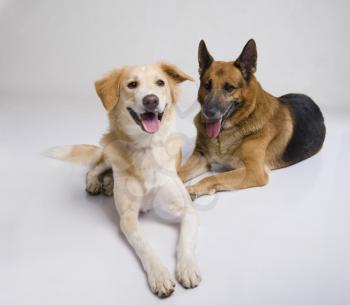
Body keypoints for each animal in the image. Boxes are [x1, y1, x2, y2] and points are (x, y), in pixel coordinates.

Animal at [47, 62, 200, 296]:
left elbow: (184, 242)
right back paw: (96, 183)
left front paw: (188, 268)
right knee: (95, 168)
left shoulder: (188, 211)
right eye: (132, 84)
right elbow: (145, 246)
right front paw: (160, 274)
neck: (147, 147)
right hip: (109, 151)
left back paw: (109, 185)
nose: (151, 100)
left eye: (160, 82)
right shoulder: (128, 218)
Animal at [179, 38, 326, 197]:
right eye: (207, 85)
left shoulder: (253, 171)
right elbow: (178, 171)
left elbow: (212, 177)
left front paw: (191, 190)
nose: (208, 113)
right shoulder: (201, 156)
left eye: (229, 88)